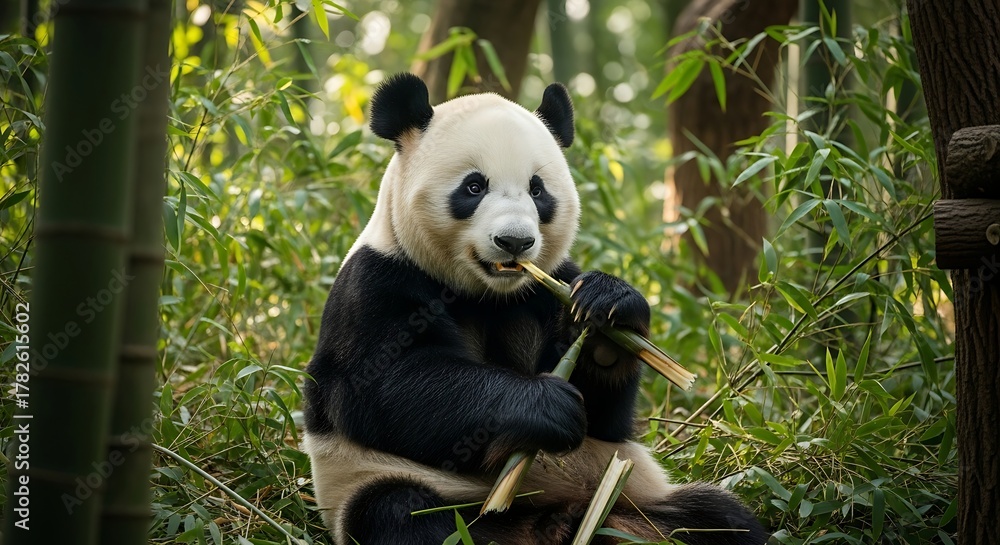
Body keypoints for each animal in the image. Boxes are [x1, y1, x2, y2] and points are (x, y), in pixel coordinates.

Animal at [302, 73, 768, 545]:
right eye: (474, 187)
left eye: (537, 190)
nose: (515, 242)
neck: (486, 293)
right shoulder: (378, 282)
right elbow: (385, 386)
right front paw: (546, 406)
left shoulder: (550, 285)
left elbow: (605, 417)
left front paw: (609, 310)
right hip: (382, 485)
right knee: (403, 514)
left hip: (634, 499)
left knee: (720, 518)